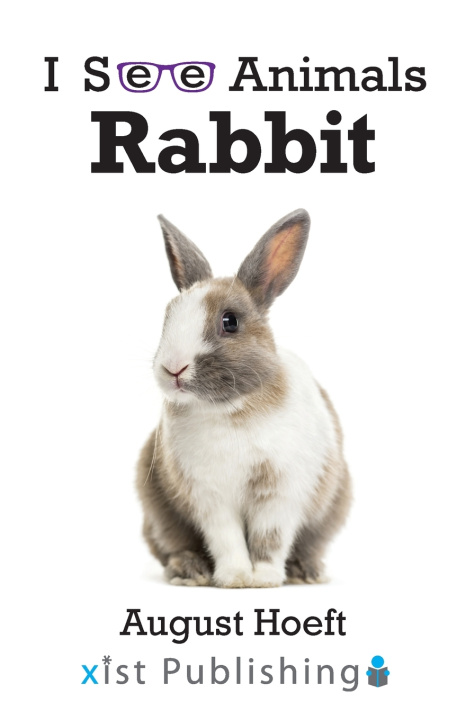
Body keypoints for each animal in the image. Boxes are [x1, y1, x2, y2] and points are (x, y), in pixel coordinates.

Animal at [136, 209, 351, 588]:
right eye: (167, 317)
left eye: (230, 321)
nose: (173, 368)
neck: (230, 410)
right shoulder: (210, 497)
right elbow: (227, 539)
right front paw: (236, 577)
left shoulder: (280, 493)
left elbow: (270, 538)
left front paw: (263, 578)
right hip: (158, 513)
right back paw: (189, 571)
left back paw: (307, 572)